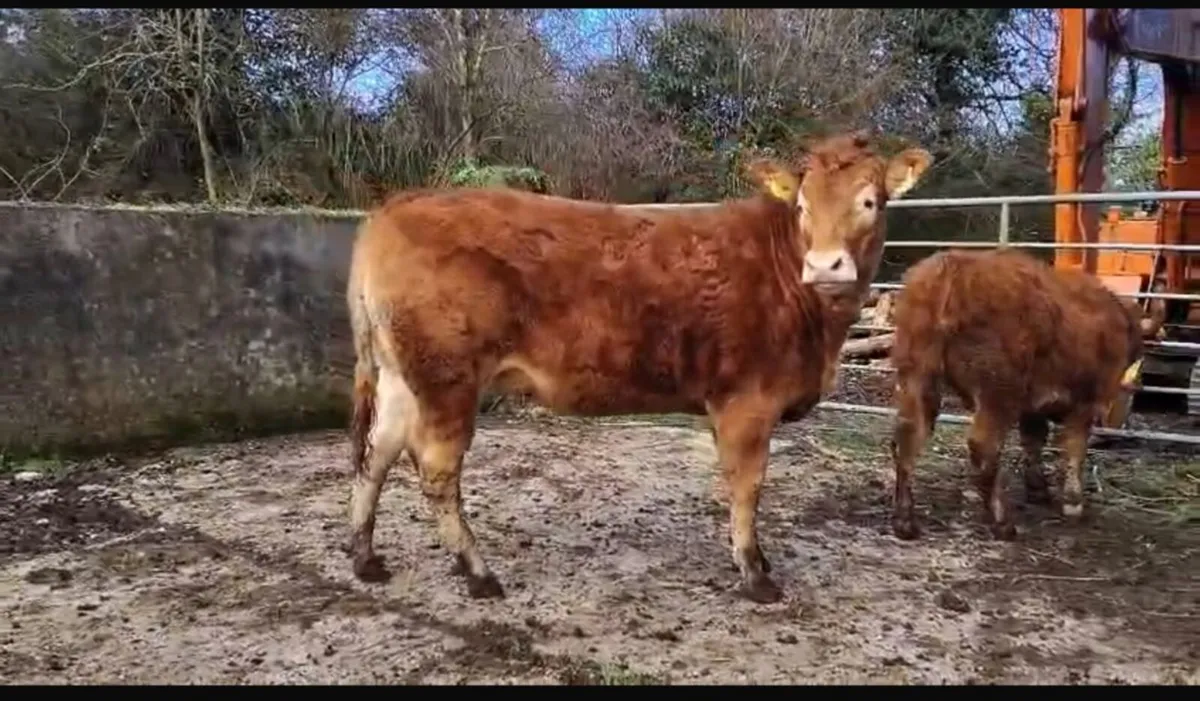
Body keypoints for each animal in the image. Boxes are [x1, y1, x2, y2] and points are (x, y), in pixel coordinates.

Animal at [345, 132, 933, 603]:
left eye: (870, 201)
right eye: (804, 206)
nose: (825, 266)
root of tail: (397, 206)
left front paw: (758, 560)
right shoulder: (747, 402)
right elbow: (748, 487)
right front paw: (755, 574)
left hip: (401, 379)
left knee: (376, 454)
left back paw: (364, 557)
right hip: (448, 380)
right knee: (436, 471)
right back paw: (477, 571)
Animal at [888, 248, 1146, 541]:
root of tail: (952, 267)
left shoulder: (1034, 406)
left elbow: (1033, 440)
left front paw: (1038, 489)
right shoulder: (1084, 403)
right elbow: (1075, 448)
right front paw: (1073, 502)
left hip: (917, 375)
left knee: (908, 436)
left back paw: (905, 521)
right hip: (997, 393)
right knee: (983, 447)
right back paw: (1003, 523)